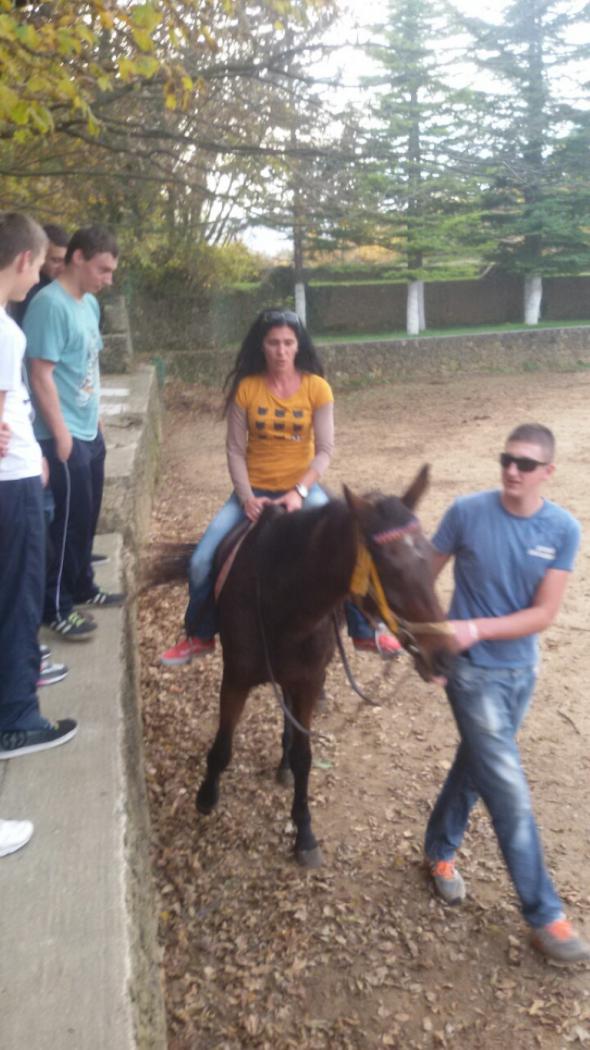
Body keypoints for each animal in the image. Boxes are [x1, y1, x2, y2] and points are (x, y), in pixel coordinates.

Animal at [187, 464, 455, 868]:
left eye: (434, 561)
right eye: (389, 568)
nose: (444, 654)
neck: (281, 598)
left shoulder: (308, 681)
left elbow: (304, 757)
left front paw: (304, 834)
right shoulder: (234, 677)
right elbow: (222, 744)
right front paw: (206, 795)